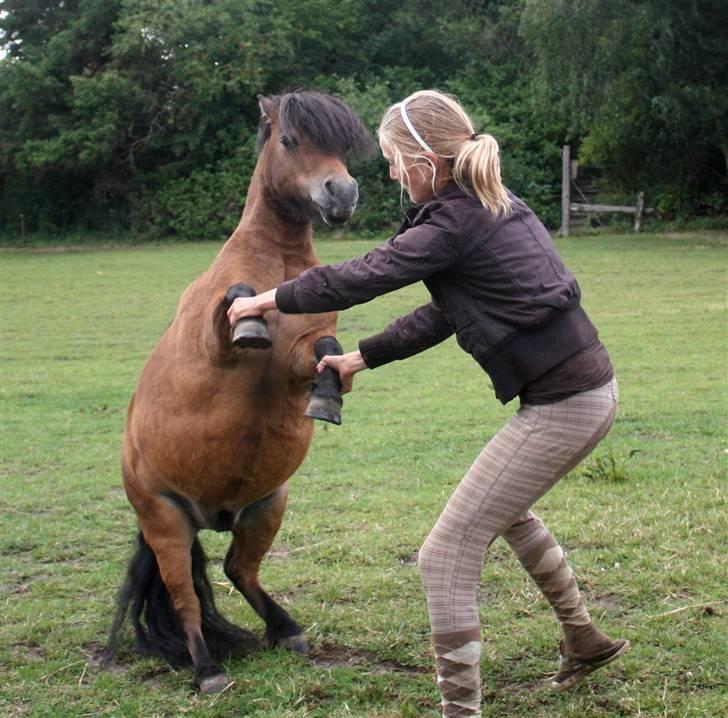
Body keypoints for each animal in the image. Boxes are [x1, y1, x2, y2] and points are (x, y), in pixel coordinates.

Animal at [108, 90, 372, 692]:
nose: (341, 193)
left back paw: (287, 630)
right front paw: (250, 321)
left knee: (238, 569)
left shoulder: (299, 358)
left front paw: (328, 397)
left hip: (265, 506)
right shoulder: (213, 351)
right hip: (166, 521)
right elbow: (236, 299)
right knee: (184, 596)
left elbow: (326, 346)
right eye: (291, 140)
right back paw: (207, 670)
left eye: (343, 148)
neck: (278, 259)